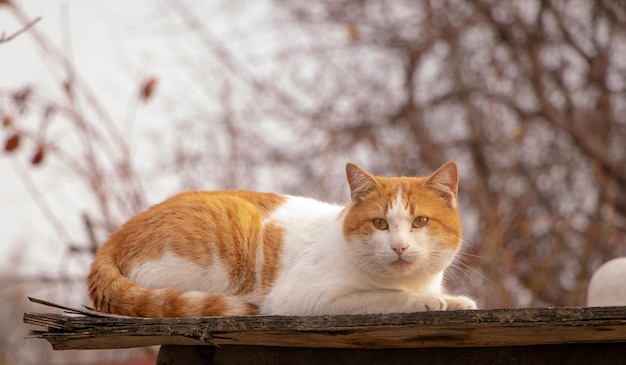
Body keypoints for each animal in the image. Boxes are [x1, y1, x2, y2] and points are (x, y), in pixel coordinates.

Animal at [88, 162, 476, 316]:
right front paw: (424, 301)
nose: (399, 247)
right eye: (380, 224)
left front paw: (453, 301)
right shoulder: (307, 299)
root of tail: (118, 235)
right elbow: (385, 296)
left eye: (420, 222)